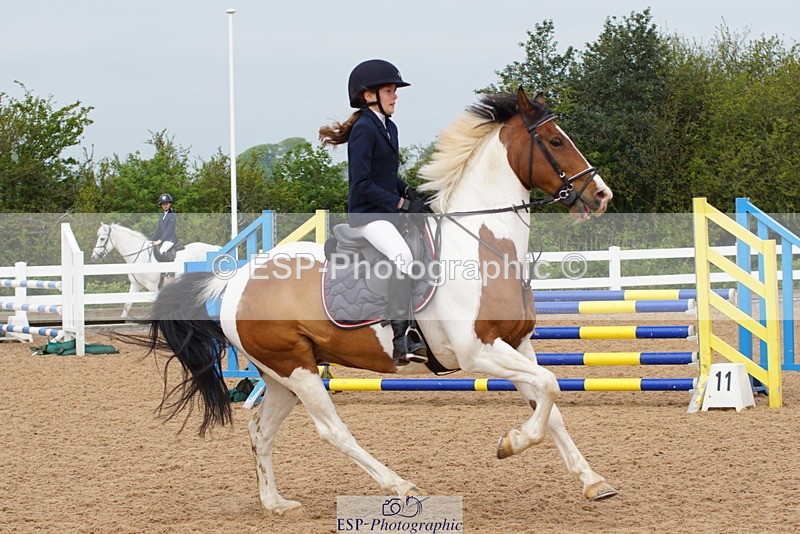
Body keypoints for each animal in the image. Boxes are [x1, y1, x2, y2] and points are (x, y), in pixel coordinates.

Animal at [90, 222, 220, 318]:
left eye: (102, 239)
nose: (94, 257)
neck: (140, 257)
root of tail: (215, 248)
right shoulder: (135, 284)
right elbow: (127, 304)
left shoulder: (152, 286)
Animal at [145, 88, 616, 516]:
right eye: (555, 141)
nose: (601, 195)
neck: (484, 244)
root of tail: (235, 282)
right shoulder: (478, 351)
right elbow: (550, 385)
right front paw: (510, 443)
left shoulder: (516, 345)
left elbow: (549, 404)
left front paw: (593, 482)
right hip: (295, 369)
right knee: (332, 430)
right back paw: (401, 486)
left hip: (282, 374)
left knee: (261, 430)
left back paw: (276, 503)